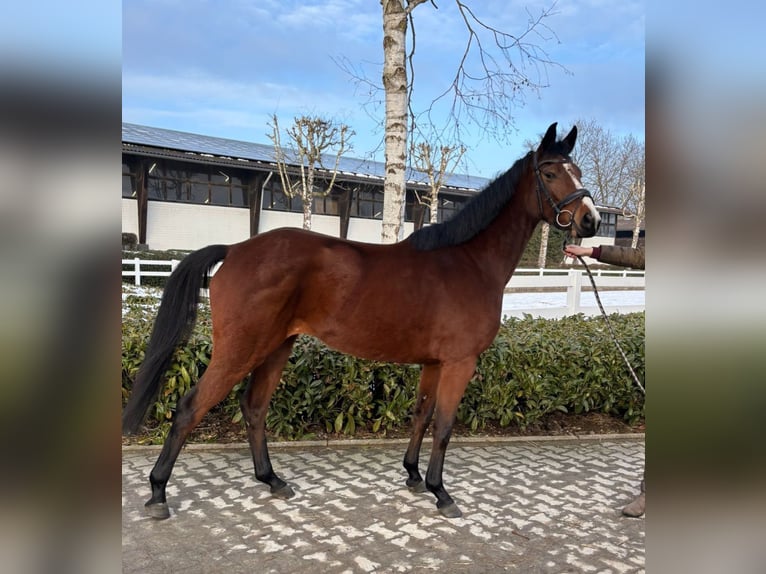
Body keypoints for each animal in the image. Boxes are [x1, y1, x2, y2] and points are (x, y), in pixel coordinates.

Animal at [122, 122, 600, 519]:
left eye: (577, 170)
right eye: (551, 172)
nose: (591, 220)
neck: (468, 261)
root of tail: (236, 249)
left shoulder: (434, 363)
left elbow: (421, 415)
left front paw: (413, 476)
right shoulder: (460, 363)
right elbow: (444, 426)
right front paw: (441, 492)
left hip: (277, 346)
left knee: (254, 408)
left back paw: (272, 480)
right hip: (241, 349)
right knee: (190, 408)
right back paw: (158, 493)